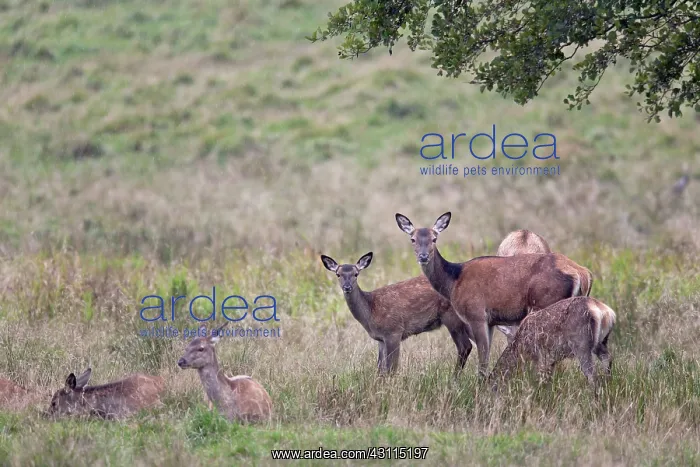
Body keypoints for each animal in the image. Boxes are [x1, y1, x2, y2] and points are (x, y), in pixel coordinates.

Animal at [320, 252, 475, 375]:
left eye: (356, 274)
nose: (347, 287)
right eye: (338, 274)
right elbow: (380, 368)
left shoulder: (393, 331)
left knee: (464, 346)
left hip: (452, 317)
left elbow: (391, 368)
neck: (370, 312)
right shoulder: (380, 339)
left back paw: (454, 378)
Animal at [395, 211, 587, 379]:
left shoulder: (476, 314)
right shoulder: (491, 321)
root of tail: (581, 273)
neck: (454, 280)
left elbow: (482, 361)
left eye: (434, 239)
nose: (423, 256)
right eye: (412, 239)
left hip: (544, 305)